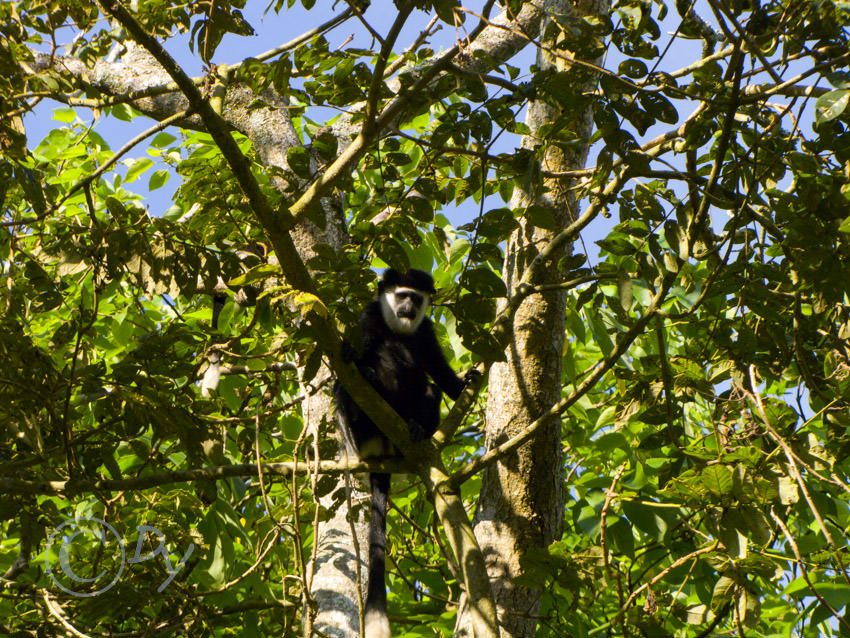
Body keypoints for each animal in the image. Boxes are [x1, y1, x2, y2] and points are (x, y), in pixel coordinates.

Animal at [332, 268, 476, 638]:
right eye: (401, 295)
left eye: (417, 297)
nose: (409, 307)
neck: (399, 327)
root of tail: (379, 453)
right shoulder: (370, 316)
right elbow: (360, 348)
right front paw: (351, 353)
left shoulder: (425, 331)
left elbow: (438, 371)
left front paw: (465, 382)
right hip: (361, 433)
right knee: (348, 386)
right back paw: (360, 402)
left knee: (429, 389)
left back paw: (416, 430)